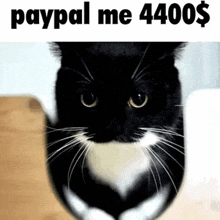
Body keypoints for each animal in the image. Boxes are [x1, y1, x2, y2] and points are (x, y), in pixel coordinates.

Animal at [46, 42, 186, 220]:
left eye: (139, 99)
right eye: (88, 98)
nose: (112, 125)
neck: (119, 156)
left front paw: (134, 213)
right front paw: (97, 212)